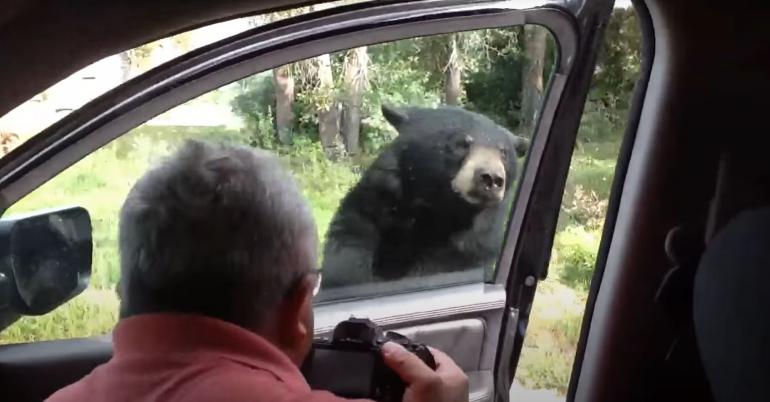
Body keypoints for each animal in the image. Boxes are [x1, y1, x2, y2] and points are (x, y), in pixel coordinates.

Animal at [318, 105, 528, 290]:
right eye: (461, 143)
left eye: (504, 152)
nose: (491, 178)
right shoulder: (376, 205)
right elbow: (350, 245)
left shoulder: (472, 245)